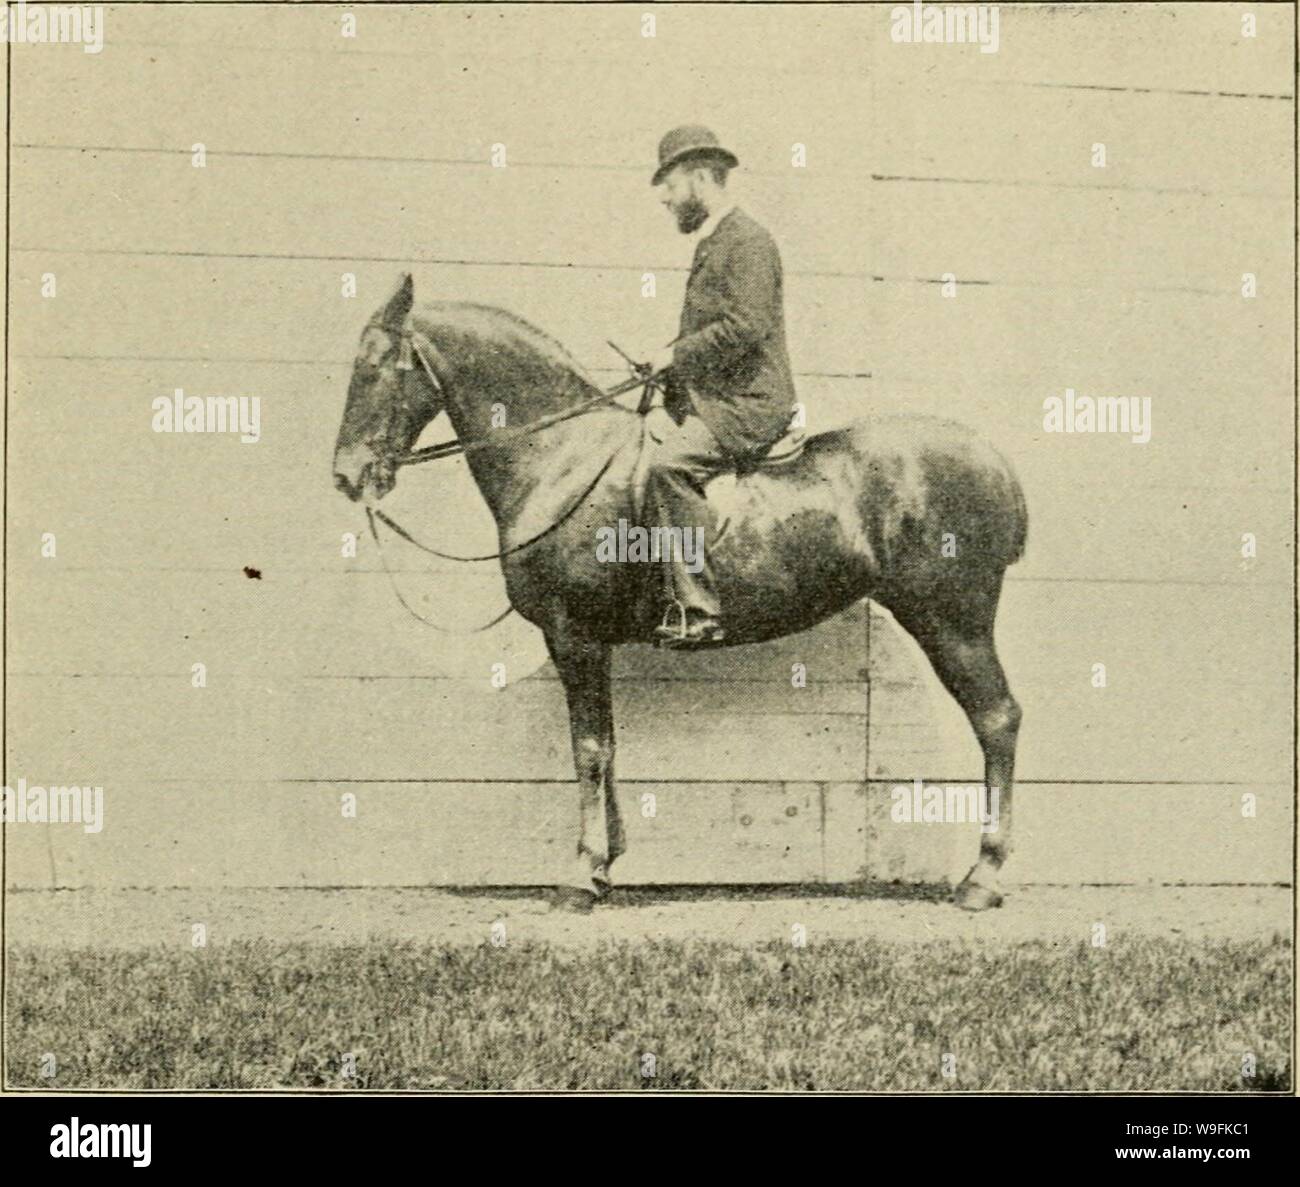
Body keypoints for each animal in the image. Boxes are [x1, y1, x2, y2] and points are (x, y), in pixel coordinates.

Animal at [333, 274, 1028, 912]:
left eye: (375, 365)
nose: (346, 475)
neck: (563, 457)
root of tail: (994, 461)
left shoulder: (573, 636)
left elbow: (588, 749)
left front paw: (582, 873)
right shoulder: (591, 644)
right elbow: (607, 746)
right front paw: (607, 862)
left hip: (951, 622)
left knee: (997, 719)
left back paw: (983, 877)